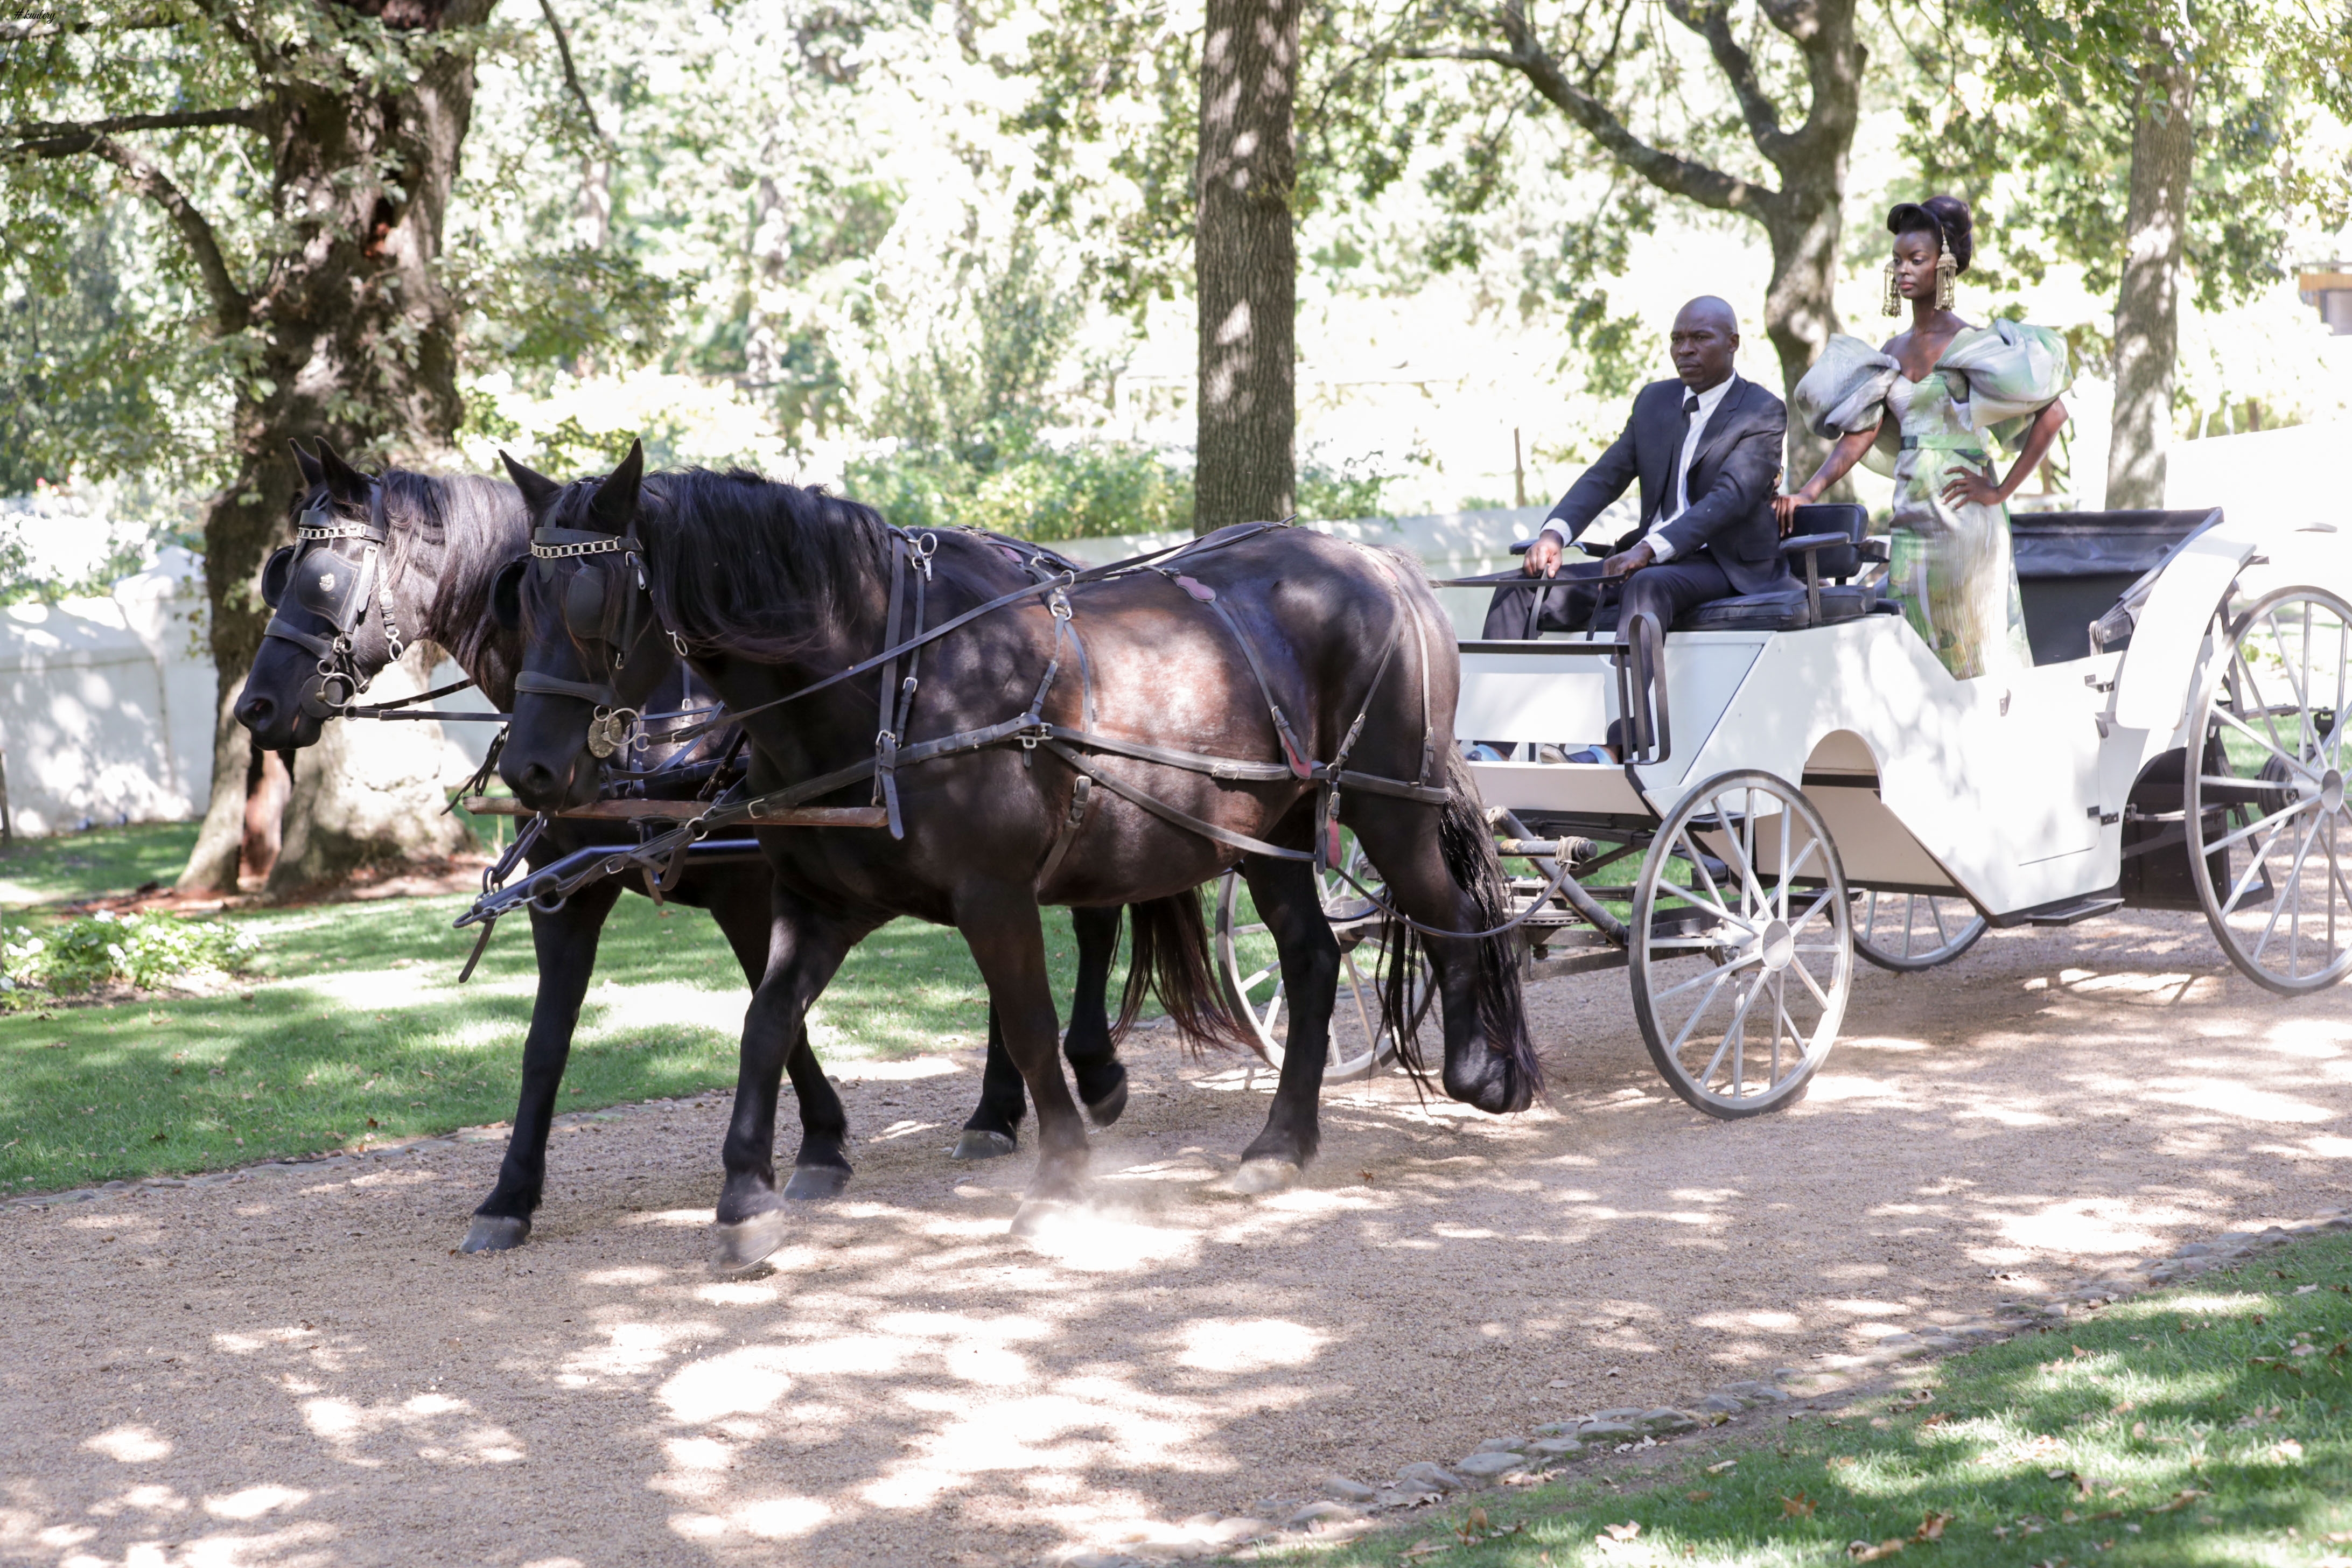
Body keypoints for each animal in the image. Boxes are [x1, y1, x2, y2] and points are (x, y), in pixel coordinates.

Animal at [234, 442, 1133, 1250]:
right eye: (281, 571)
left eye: (320, 579)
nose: (255, 707)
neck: (653, 717)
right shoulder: (570, 895)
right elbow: (544, 1047)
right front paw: (509, 1197)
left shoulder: (750, 890)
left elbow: (777, 1017)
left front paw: (817, 1147)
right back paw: (997, 1109)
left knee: (1092, 921)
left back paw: (1081, 1074)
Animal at [487, 446, 1533, 1269]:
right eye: (516, 604)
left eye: (590, 604)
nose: (530, 767)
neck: (889, 680)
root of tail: (1378, 562)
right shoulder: (816, 902)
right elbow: (766, 1025)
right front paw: (747, 1196)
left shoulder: (993, 896)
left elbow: (1028, 1026)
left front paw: (1062, 1176)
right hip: (1269, 830)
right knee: (1314, 959)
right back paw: (1281, 1141)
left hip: (1385, 802)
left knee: (1452, 915)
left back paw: (1484, 1070)